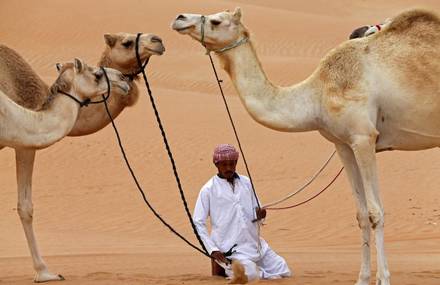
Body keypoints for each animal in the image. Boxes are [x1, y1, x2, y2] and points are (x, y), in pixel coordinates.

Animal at [173, 7, 440, 282]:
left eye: (216, 21)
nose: (180, 18)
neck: (316, 95)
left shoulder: (363, 137)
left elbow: (375, 213)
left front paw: (383, 279)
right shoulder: (343, 144)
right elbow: (361, 214)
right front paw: (362, 279)